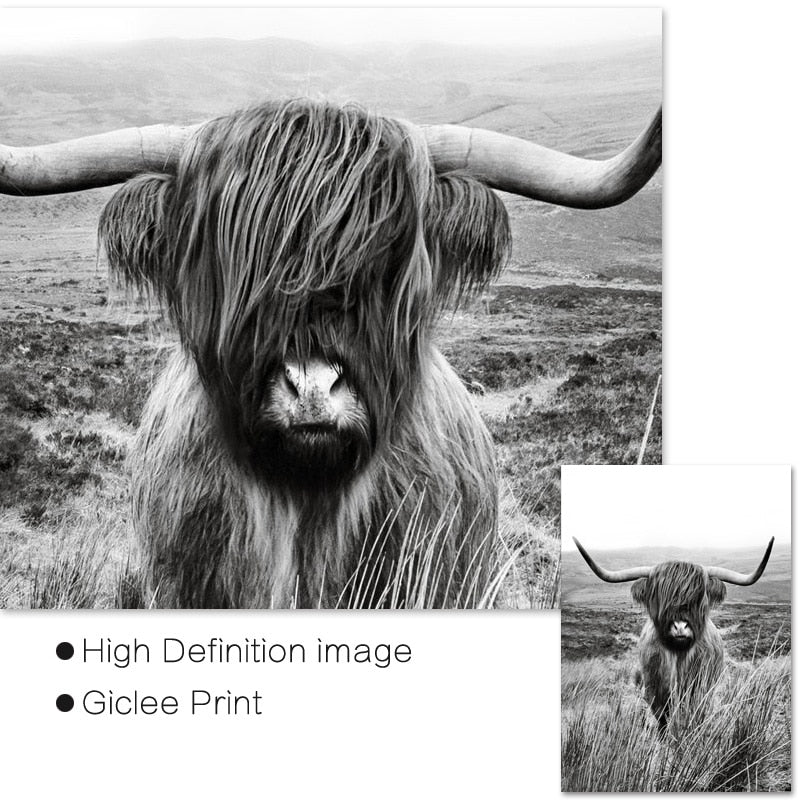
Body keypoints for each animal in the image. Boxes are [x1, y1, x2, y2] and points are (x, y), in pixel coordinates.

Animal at [572, 536, 775, 730]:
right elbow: (663, 720)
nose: (680, 626)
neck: (678, 656)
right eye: (661, 599)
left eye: (699, 600)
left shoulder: (701, 690)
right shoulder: (655, 691)